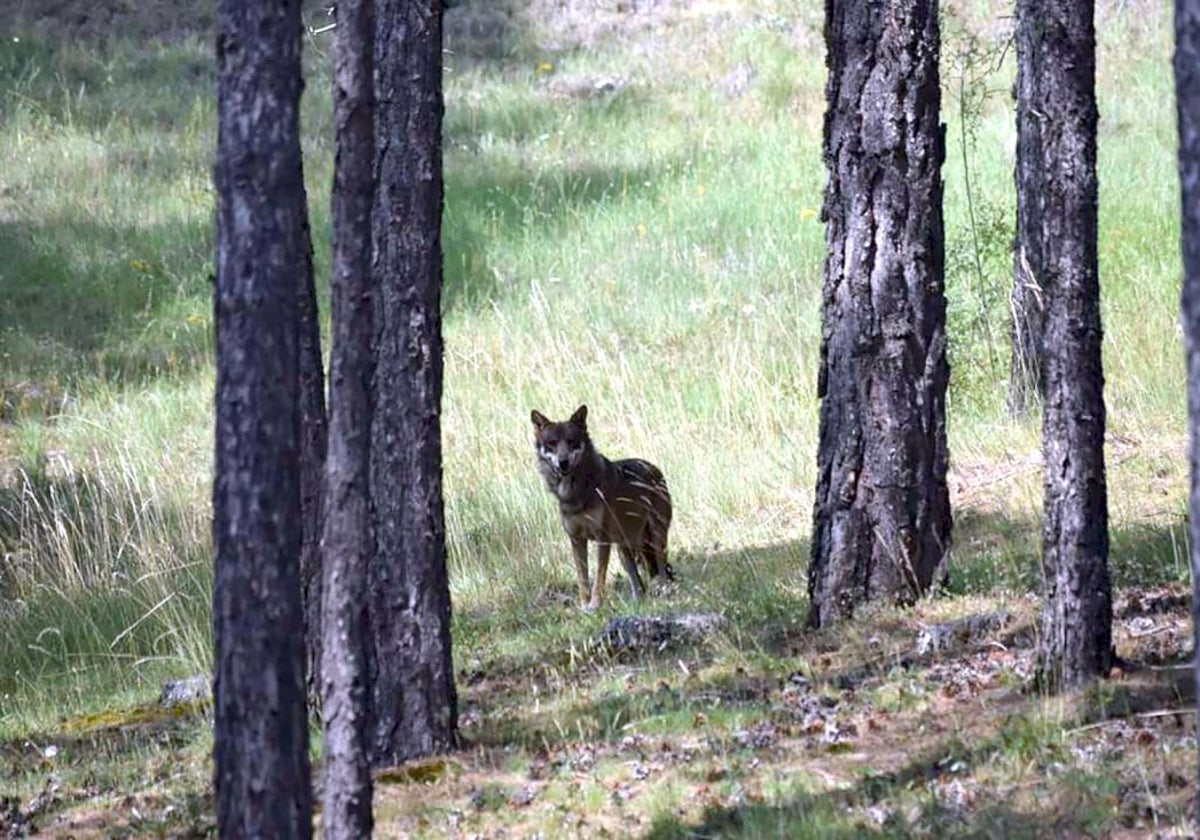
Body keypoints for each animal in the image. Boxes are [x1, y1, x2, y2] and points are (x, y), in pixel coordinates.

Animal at [532, 408, 676, 609]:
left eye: (571, 442)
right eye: (551, 443)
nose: (563, 462)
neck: (577, 492)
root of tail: (654, 468)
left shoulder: (602, 539)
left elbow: (599, 578)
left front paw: (594, 605)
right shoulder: (576, 540)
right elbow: (582, 579)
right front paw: (584, 606)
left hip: (655, 539)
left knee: (661, 569)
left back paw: (663, 590)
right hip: (624, 550)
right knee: (637, 581)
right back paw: (636, 602)